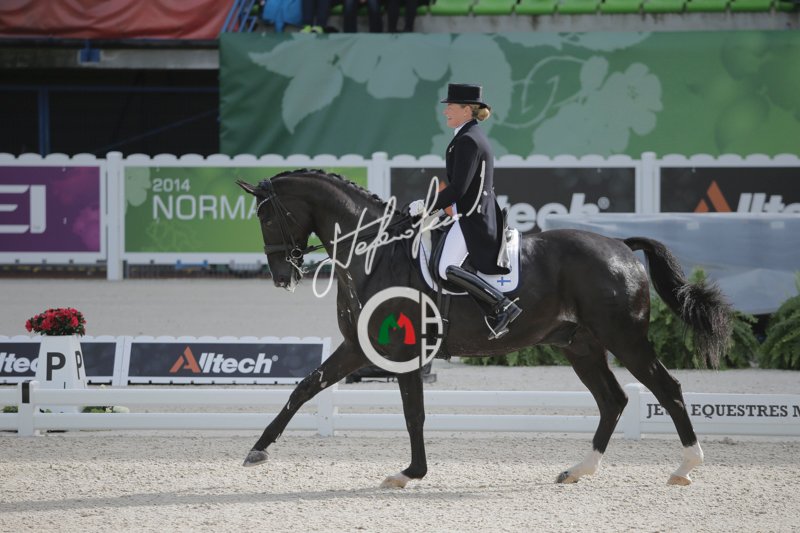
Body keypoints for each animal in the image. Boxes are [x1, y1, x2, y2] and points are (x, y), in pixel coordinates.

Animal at [236, 169, 733, 487]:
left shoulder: (403, 352)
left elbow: (413, 414)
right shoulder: (359, 346)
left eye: (266, 216)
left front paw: (409, 474)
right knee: (614, 400)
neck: (375, 252)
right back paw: (578, 470)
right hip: (582, 346)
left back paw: (686, 468)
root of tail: (619, 245)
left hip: (623, 338)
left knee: (666, 388)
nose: (282, 277)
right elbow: (305, 387)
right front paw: (257, 449)